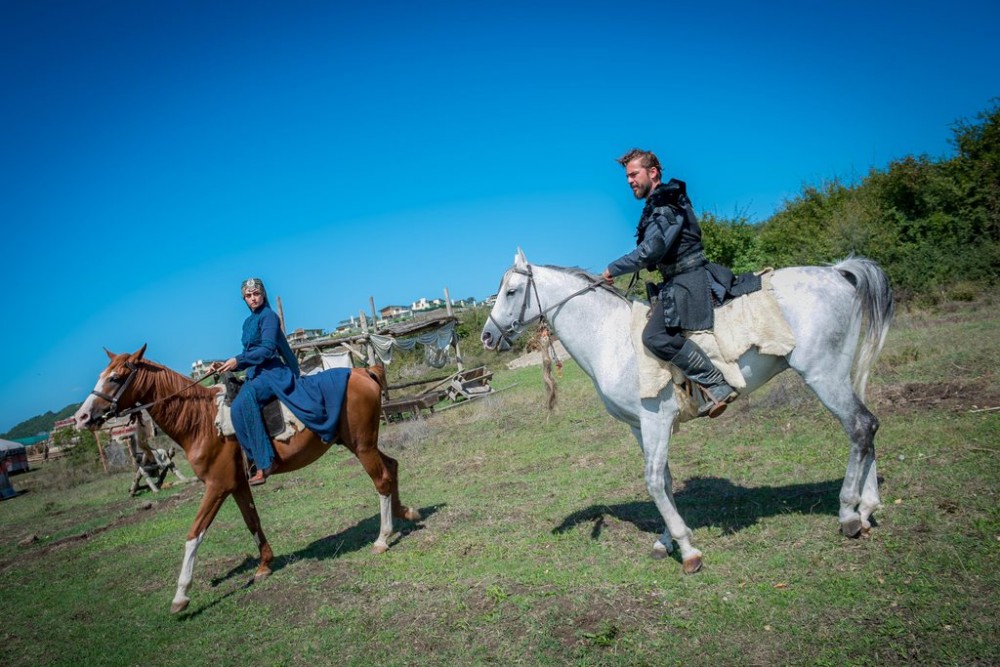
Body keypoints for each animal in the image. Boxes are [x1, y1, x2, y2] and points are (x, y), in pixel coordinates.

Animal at [74, 348, 422, 612]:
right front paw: (265, 565)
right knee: (391, 467)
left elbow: (194, 534)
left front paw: (181, 595)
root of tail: (364, 372)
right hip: (360, 444)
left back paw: (382, 538)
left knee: (381, 479)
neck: (200, 421)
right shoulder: (237, 485)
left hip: (361, 446)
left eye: (115, 378)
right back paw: (406, 513)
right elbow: (252, 521)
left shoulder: (216, 487)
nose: (81, 417)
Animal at [480, 250, 896, 576]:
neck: (608, 336)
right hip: (840, 376)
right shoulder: (640, 427)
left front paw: (688, 551)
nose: (487, 336)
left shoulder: (655, 420)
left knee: (860, 426)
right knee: (867, 428)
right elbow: (663, 480)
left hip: (823, 374)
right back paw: (867, 509)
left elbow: (652, 480)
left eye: (512, 292)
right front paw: (668, 541)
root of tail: (837, 272)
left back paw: (848, 514)